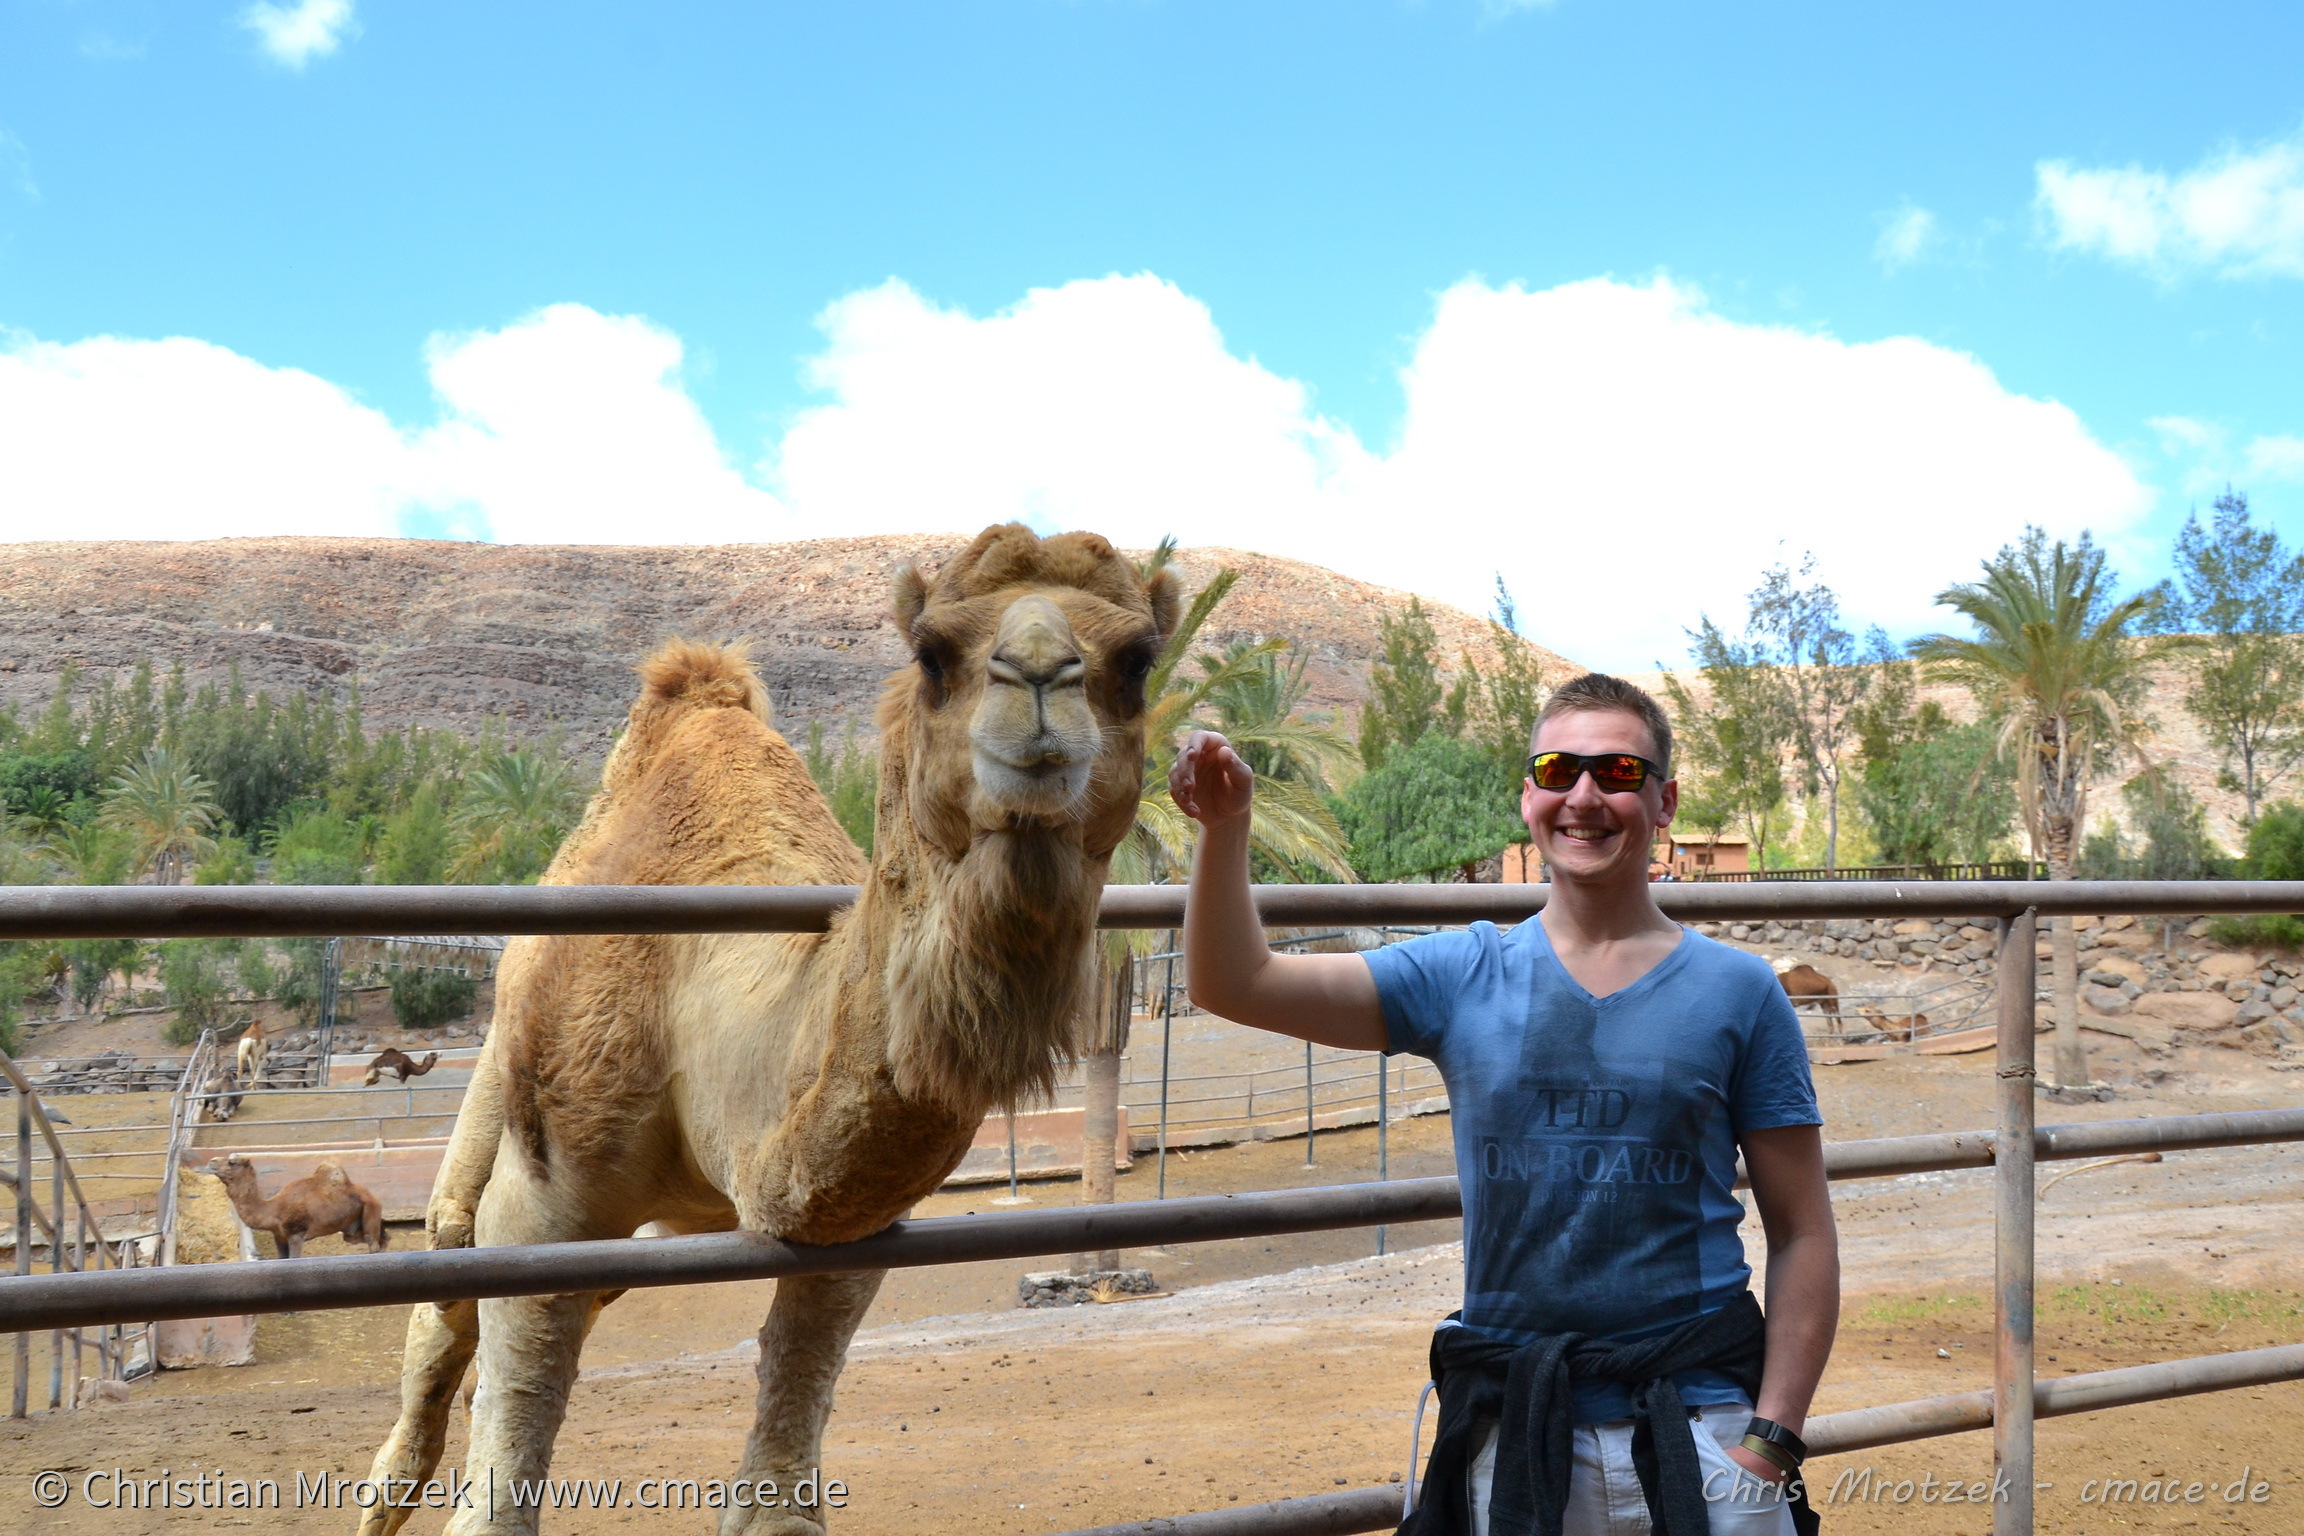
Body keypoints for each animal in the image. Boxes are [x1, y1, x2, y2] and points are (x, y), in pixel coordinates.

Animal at [208, 1151, 391, 1261]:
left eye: (232, 1162)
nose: (211, 1162)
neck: (274, 1210)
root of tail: (373, 1196)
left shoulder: (296, 1234)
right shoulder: (279, 1236)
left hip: (371, 1212)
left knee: (372, 1242)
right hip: (351, 1228)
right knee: (379, 1240)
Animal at [366, 529, 1179, 1536]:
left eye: (1138, 660)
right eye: (931, 652)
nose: (1038, 681)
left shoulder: (853, 1228)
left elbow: (782, 1484)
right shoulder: (543, 1199)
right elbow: (495, 1498)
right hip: (493, 1113)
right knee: (444, 1281)